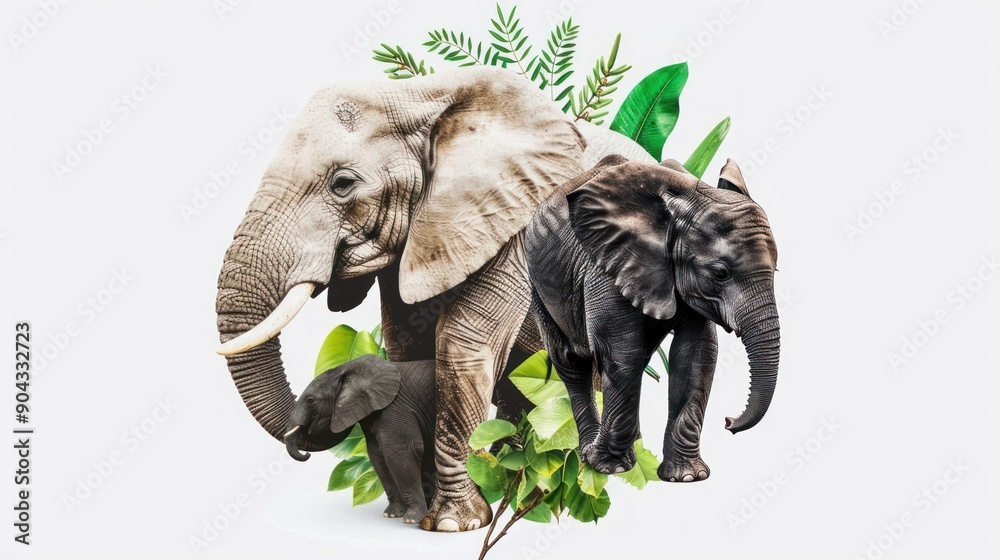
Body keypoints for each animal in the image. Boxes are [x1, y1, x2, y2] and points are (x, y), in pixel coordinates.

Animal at [283, 355, 436, 525]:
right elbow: (377, 456)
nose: (306, 455)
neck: (343, 369)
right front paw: (391, 515)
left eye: (310, 400)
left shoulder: (396, 406)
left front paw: (411, 520)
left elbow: (400, 452)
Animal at [525, 155, 780, 480]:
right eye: (720, 273)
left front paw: (687, 476)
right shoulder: (607, 266)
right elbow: (622, 354)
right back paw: (589, 454)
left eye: (776, 270)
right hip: (538, 284)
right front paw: (610, 467)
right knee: (570, 361)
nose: (728, 422)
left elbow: (695, 354)